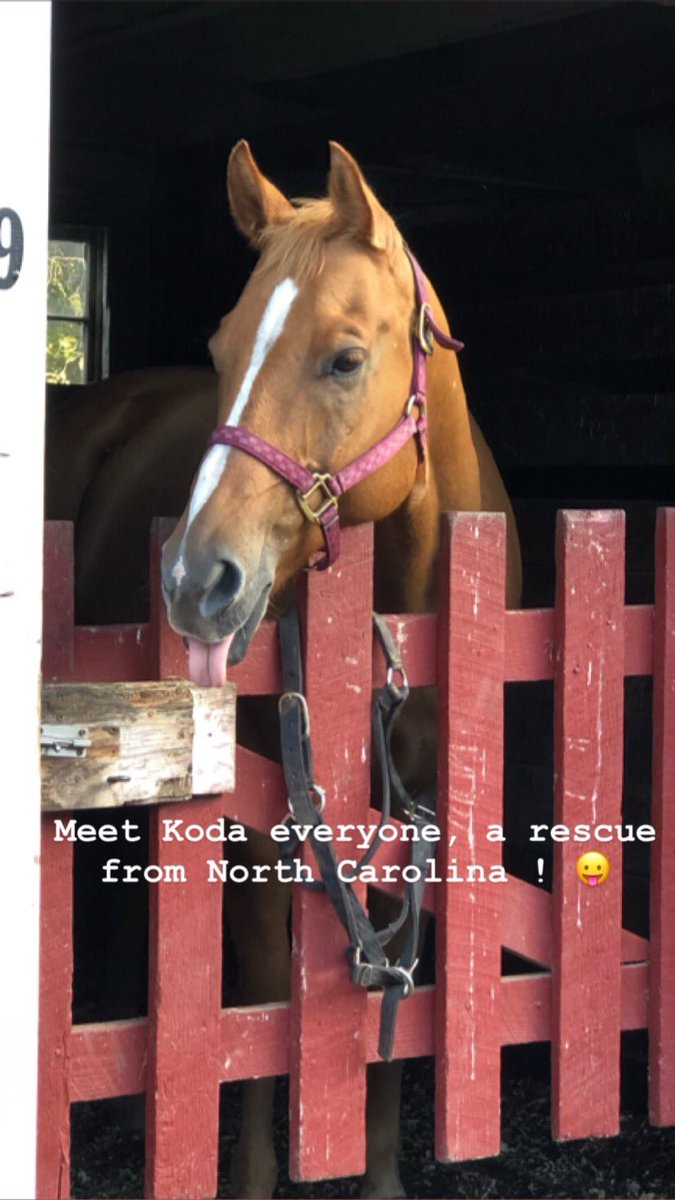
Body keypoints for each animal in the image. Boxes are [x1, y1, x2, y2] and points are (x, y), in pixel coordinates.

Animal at [159, 140, 521, 1198]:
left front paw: (381, 1171)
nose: (194, 581)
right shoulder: (263, 825)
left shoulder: (423, 823)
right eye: (220, 350)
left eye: (346, 358)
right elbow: (254, 1005)